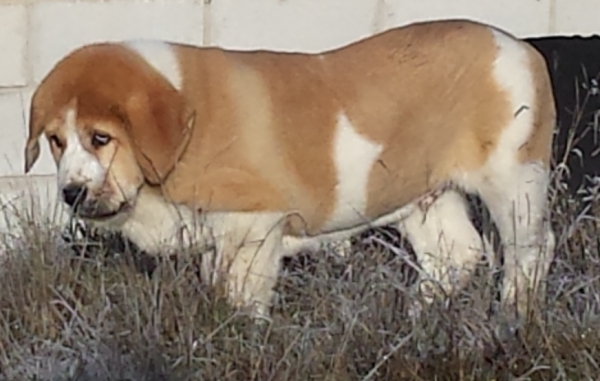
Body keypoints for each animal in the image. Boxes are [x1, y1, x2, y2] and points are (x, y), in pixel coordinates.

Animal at [23, 19, 556, 320]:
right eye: (56, 141)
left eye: (100, 138)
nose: (71, 193)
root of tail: (519, 46)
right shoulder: (217, 238)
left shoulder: (253, 227)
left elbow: (241, 297)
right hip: (425, 197)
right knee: (457, 256)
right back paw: (413, 318)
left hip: (513, 181)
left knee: (528, 250)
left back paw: (511, 316)